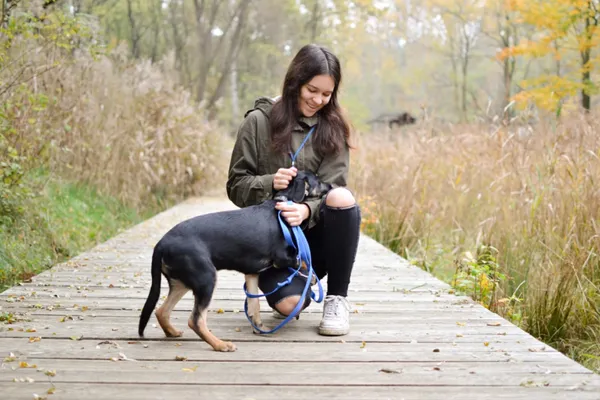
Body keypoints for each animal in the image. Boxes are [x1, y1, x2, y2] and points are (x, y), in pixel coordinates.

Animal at [138, 170, 330, 352]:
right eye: (318, 180)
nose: (331, 186)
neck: (281, 206)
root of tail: (161, 244)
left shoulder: (252, 273)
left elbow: (254, 304)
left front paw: (258, 327)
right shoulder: (282, 257)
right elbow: (302, 261)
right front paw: (312, 277)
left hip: (182, 281)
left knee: (162, 311)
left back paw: (172, 332)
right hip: (206, 279)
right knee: (196, 320)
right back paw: (221, 345)